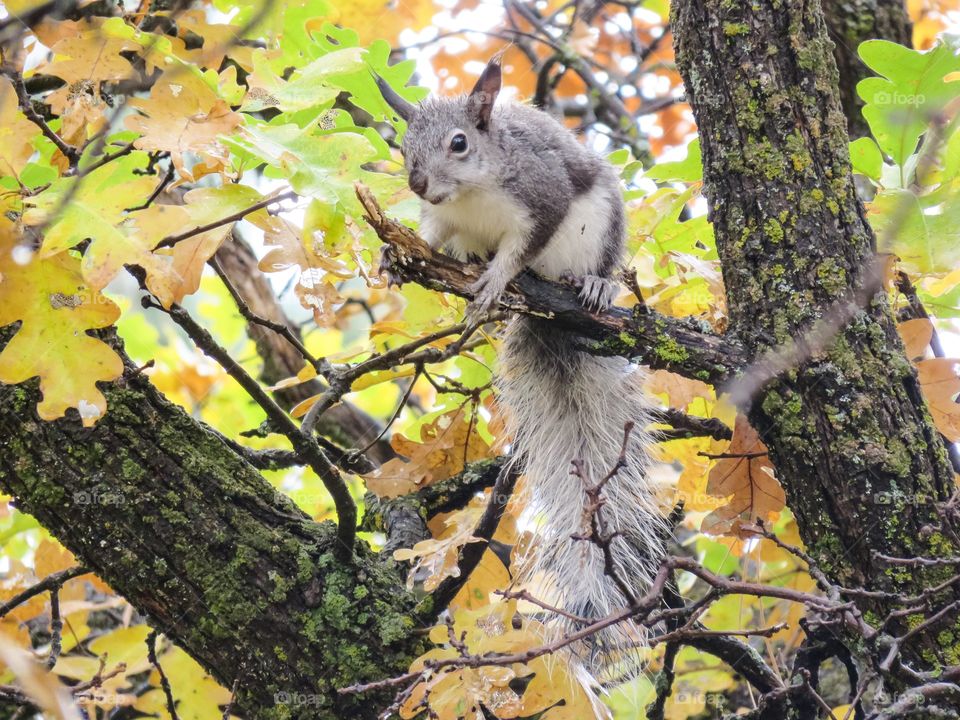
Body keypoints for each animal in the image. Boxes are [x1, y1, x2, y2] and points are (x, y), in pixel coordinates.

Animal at [376, 59, 668, 676]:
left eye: (459, 143)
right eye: (404, 144)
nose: (418, 184)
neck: (470, 195)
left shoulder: (542, 197)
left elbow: (519, 251)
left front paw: (494, 283)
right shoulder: (443, 218)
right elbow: (430, 236)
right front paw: (396, 251)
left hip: (599, 227)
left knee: (586, 265)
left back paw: (592, 284)